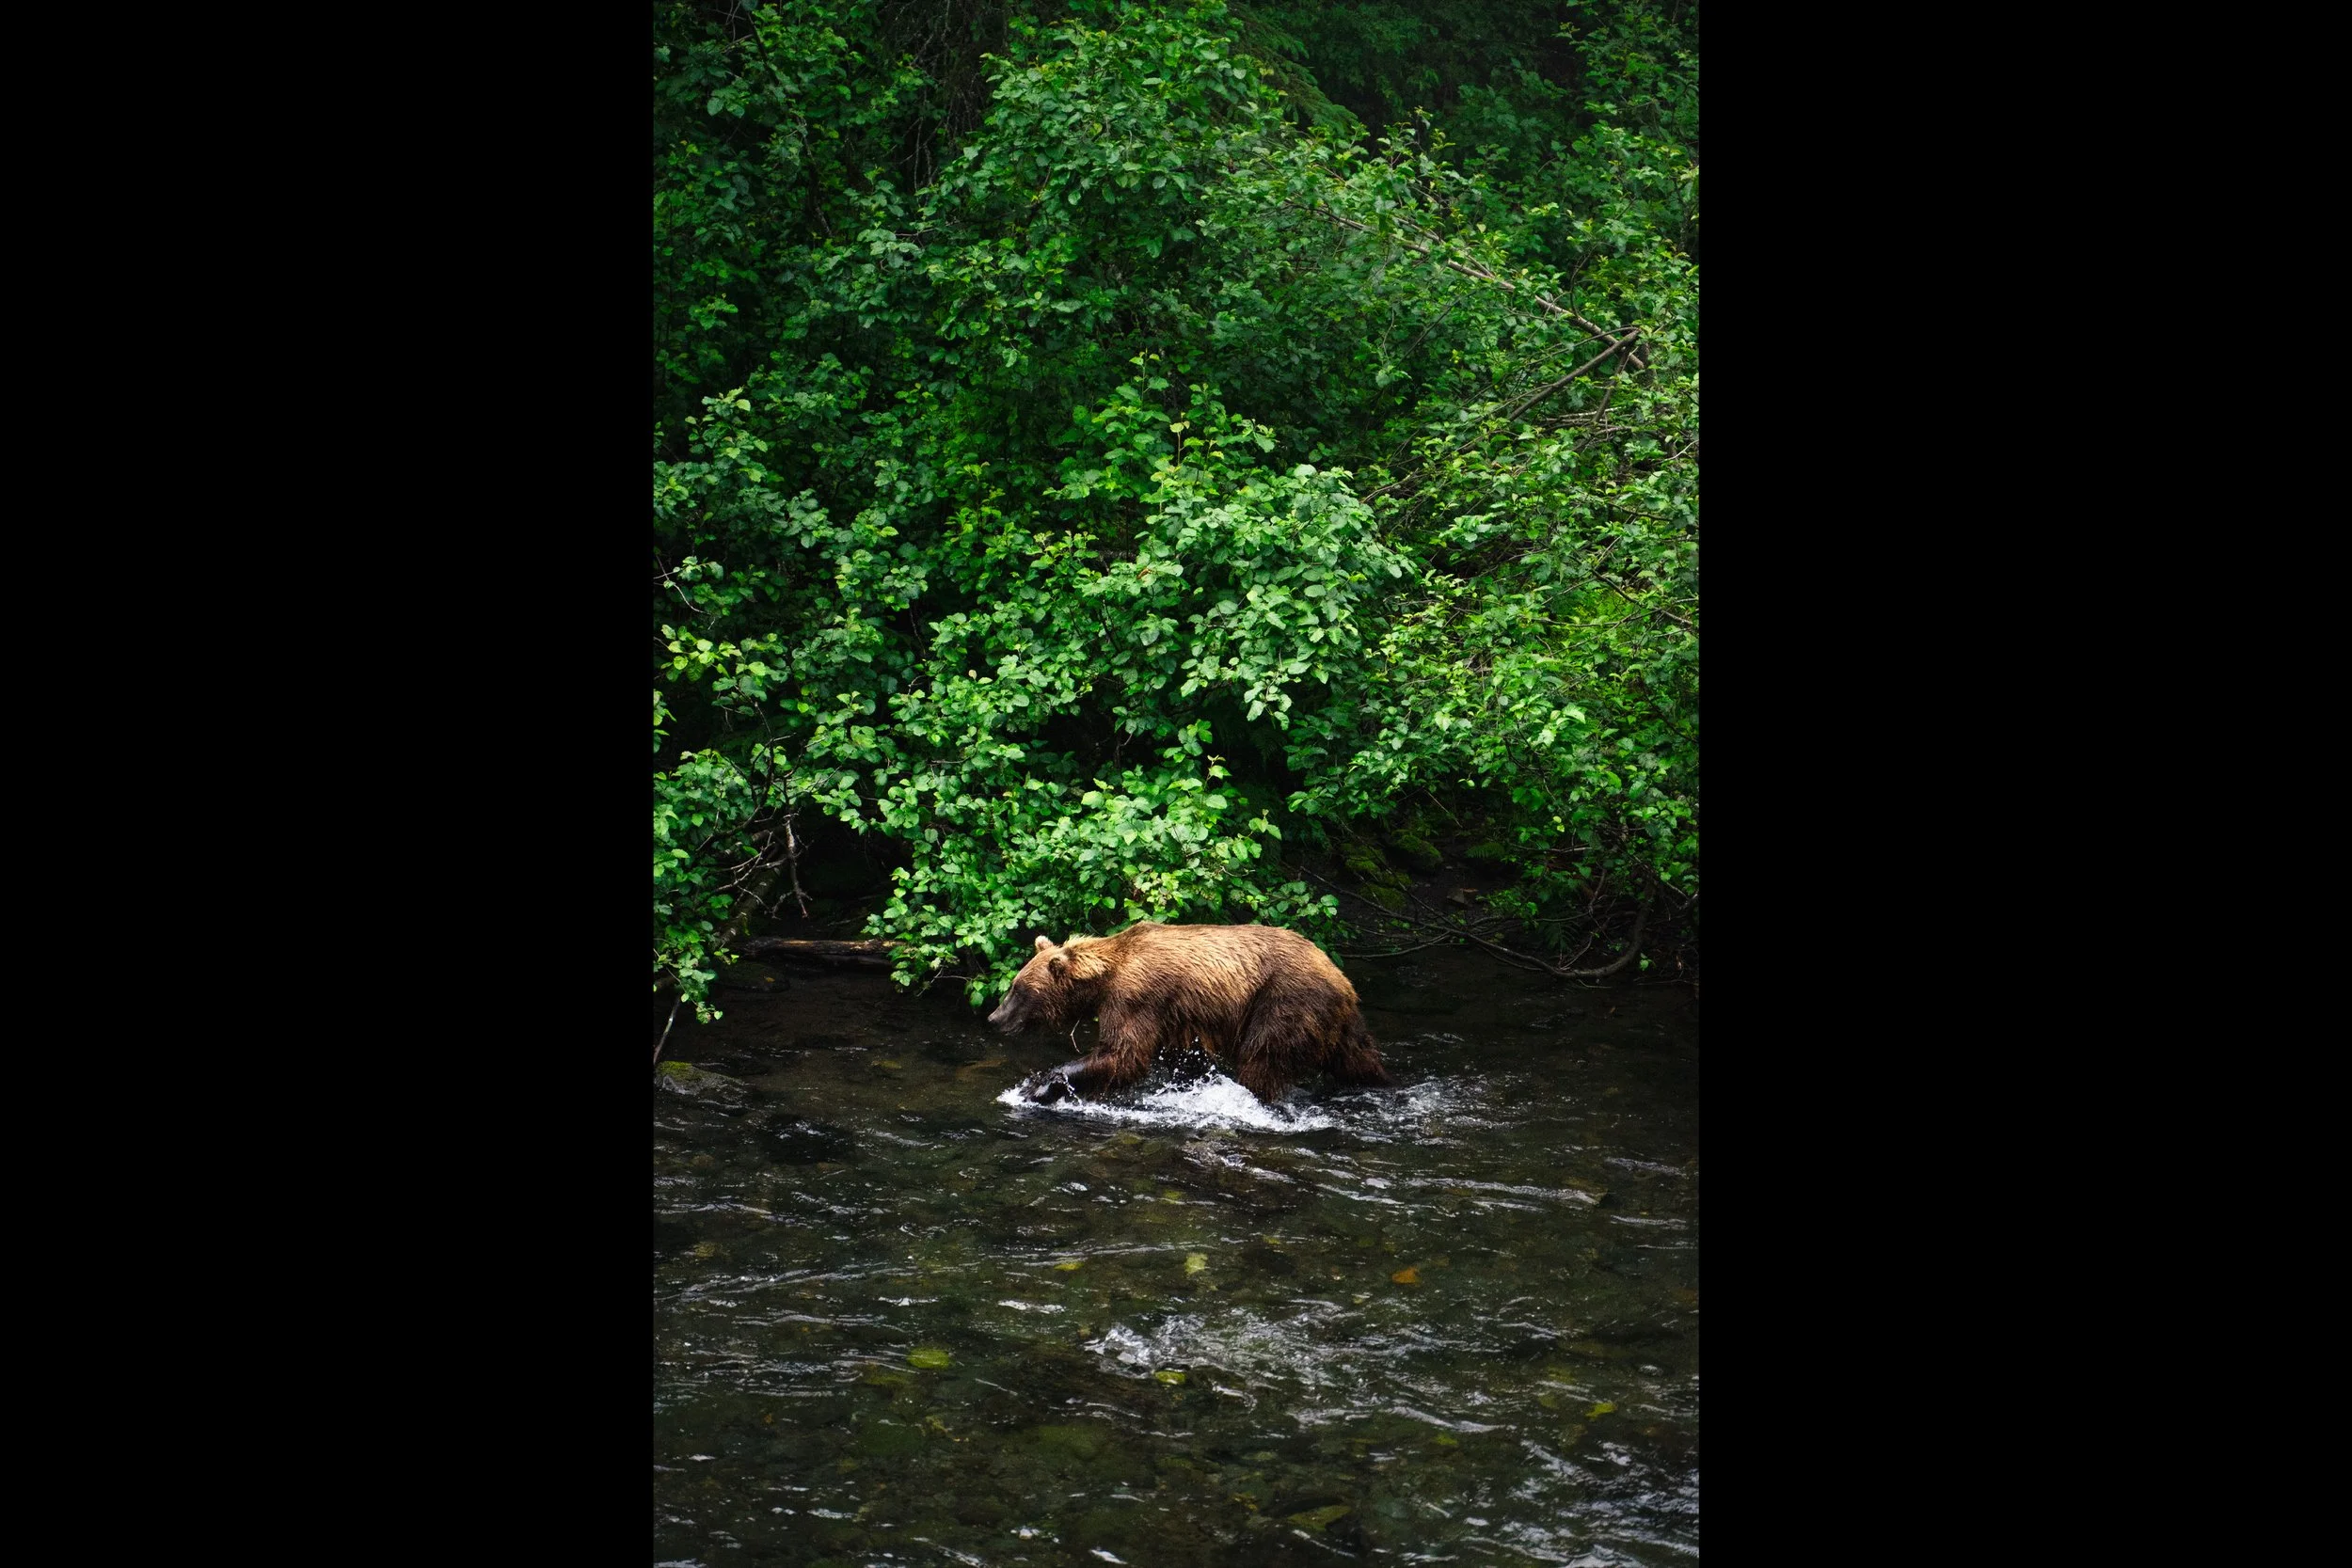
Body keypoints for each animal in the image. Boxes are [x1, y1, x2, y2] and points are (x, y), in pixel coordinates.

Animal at [986, 920, 1390, 1104]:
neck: (1104, 976)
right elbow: (1182, 1059)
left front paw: (1038, 1085)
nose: (994, 1018)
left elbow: (1123, 1053)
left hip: (1284, 1001)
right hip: (1338, 1020)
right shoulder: (1177, 1019)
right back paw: (1378, 1082)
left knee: (1262, 1058)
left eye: (1017, 989)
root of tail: (1341, 977)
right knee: (1357, 1057)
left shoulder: (1136, 997)